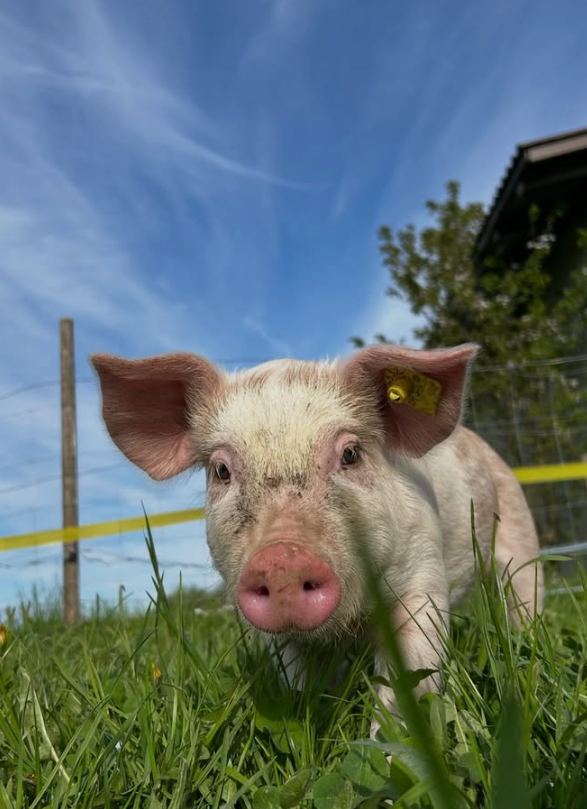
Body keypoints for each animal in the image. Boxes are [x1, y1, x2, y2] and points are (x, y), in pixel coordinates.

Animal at [91, 343, 543, 731]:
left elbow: (411, 679)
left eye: (351, 454)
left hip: (519, 533)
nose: (282, 559)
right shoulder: (278, 639)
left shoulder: (422, 578)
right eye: (221, 470)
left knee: (524, 594)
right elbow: (298, 682)